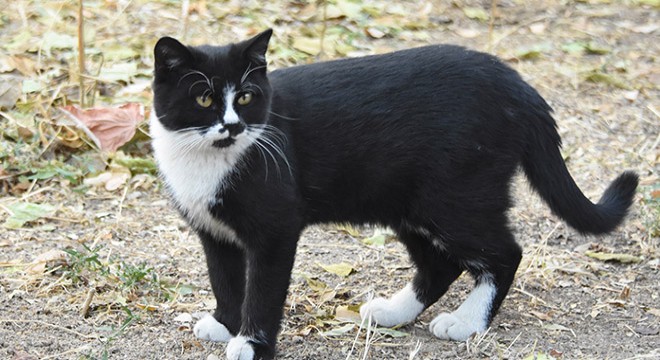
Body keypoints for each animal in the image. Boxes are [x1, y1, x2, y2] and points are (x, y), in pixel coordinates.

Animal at [151, 29, 640, 358]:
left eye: (247, 97)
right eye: (203, 99)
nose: (233, 126)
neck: (204, 160)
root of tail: (518, 84)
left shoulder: (276, 230)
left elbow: (263, 289)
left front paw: (251, 343)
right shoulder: (213, 232)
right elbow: (225, 278)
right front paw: (225, 324)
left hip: (457, 197)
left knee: (504, 253)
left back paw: (466, 322)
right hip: (409, 202)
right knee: (440, 264)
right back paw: (393, 313)